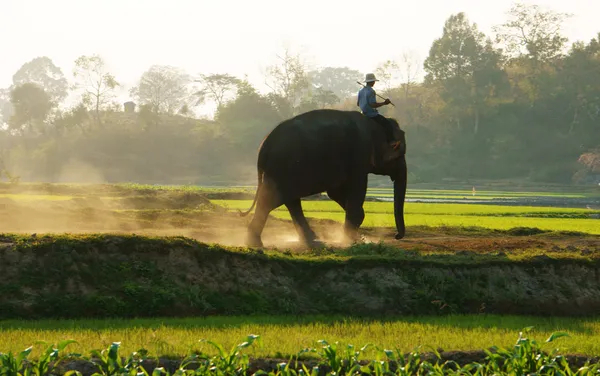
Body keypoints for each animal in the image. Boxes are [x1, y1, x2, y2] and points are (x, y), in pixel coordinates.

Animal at [239, 108, 408, 248]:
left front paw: (354, 235)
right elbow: (356, 187)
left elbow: (335, 192)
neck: (373, 124)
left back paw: (311, 239)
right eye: (399, 155)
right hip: (283, 167)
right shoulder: (359, 154)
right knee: (271, 200)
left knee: (289, 201)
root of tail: (264, 146)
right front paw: (352, 239)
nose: (397, 236)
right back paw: (256, 243)